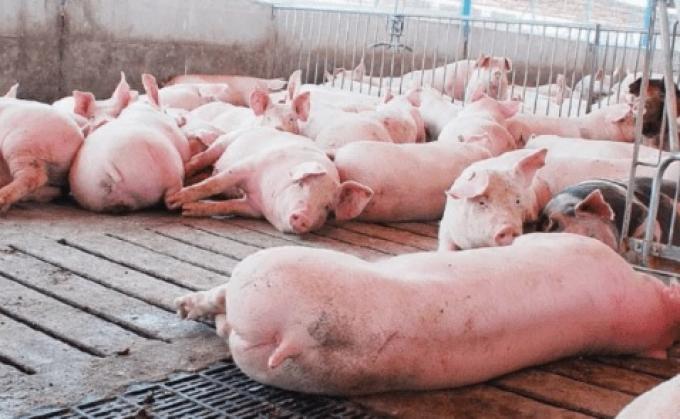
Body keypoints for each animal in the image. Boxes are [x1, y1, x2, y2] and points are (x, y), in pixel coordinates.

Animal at [166, 127, 373, 234]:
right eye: (301, 184)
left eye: (327, 207)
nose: (303, 218)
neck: (265, 199)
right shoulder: (249, 165)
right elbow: (216, 182)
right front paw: (173, 201)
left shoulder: (253, 209)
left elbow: (227, 206)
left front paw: (187, 210)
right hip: (226, 140)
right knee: (203, 158)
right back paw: (185, 174)